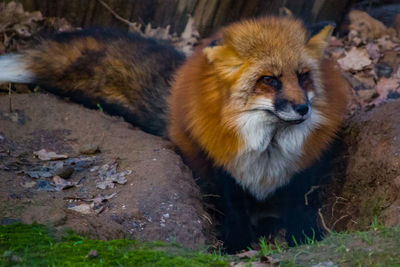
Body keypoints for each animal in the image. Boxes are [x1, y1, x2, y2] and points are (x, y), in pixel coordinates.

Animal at [0, 16, 350, 251]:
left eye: (303, 77)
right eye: (270, 80)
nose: (303, 109)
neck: (268, 147)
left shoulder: (301, 171)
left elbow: (298, 206)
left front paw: (304, 239)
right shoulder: (223, 169)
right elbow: (235, 211)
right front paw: (237, 246)